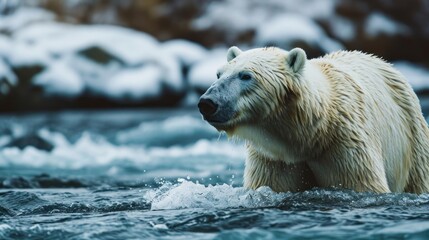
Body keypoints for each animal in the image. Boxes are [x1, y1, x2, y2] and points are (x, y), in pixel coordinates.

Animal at [199, 46, 428, 193]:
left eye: (246, 75)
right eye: (219, 74)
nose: (207, 103)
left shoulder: (346, 145)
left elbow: (362, 184)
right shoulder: (272, 157)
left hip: (412, 139)